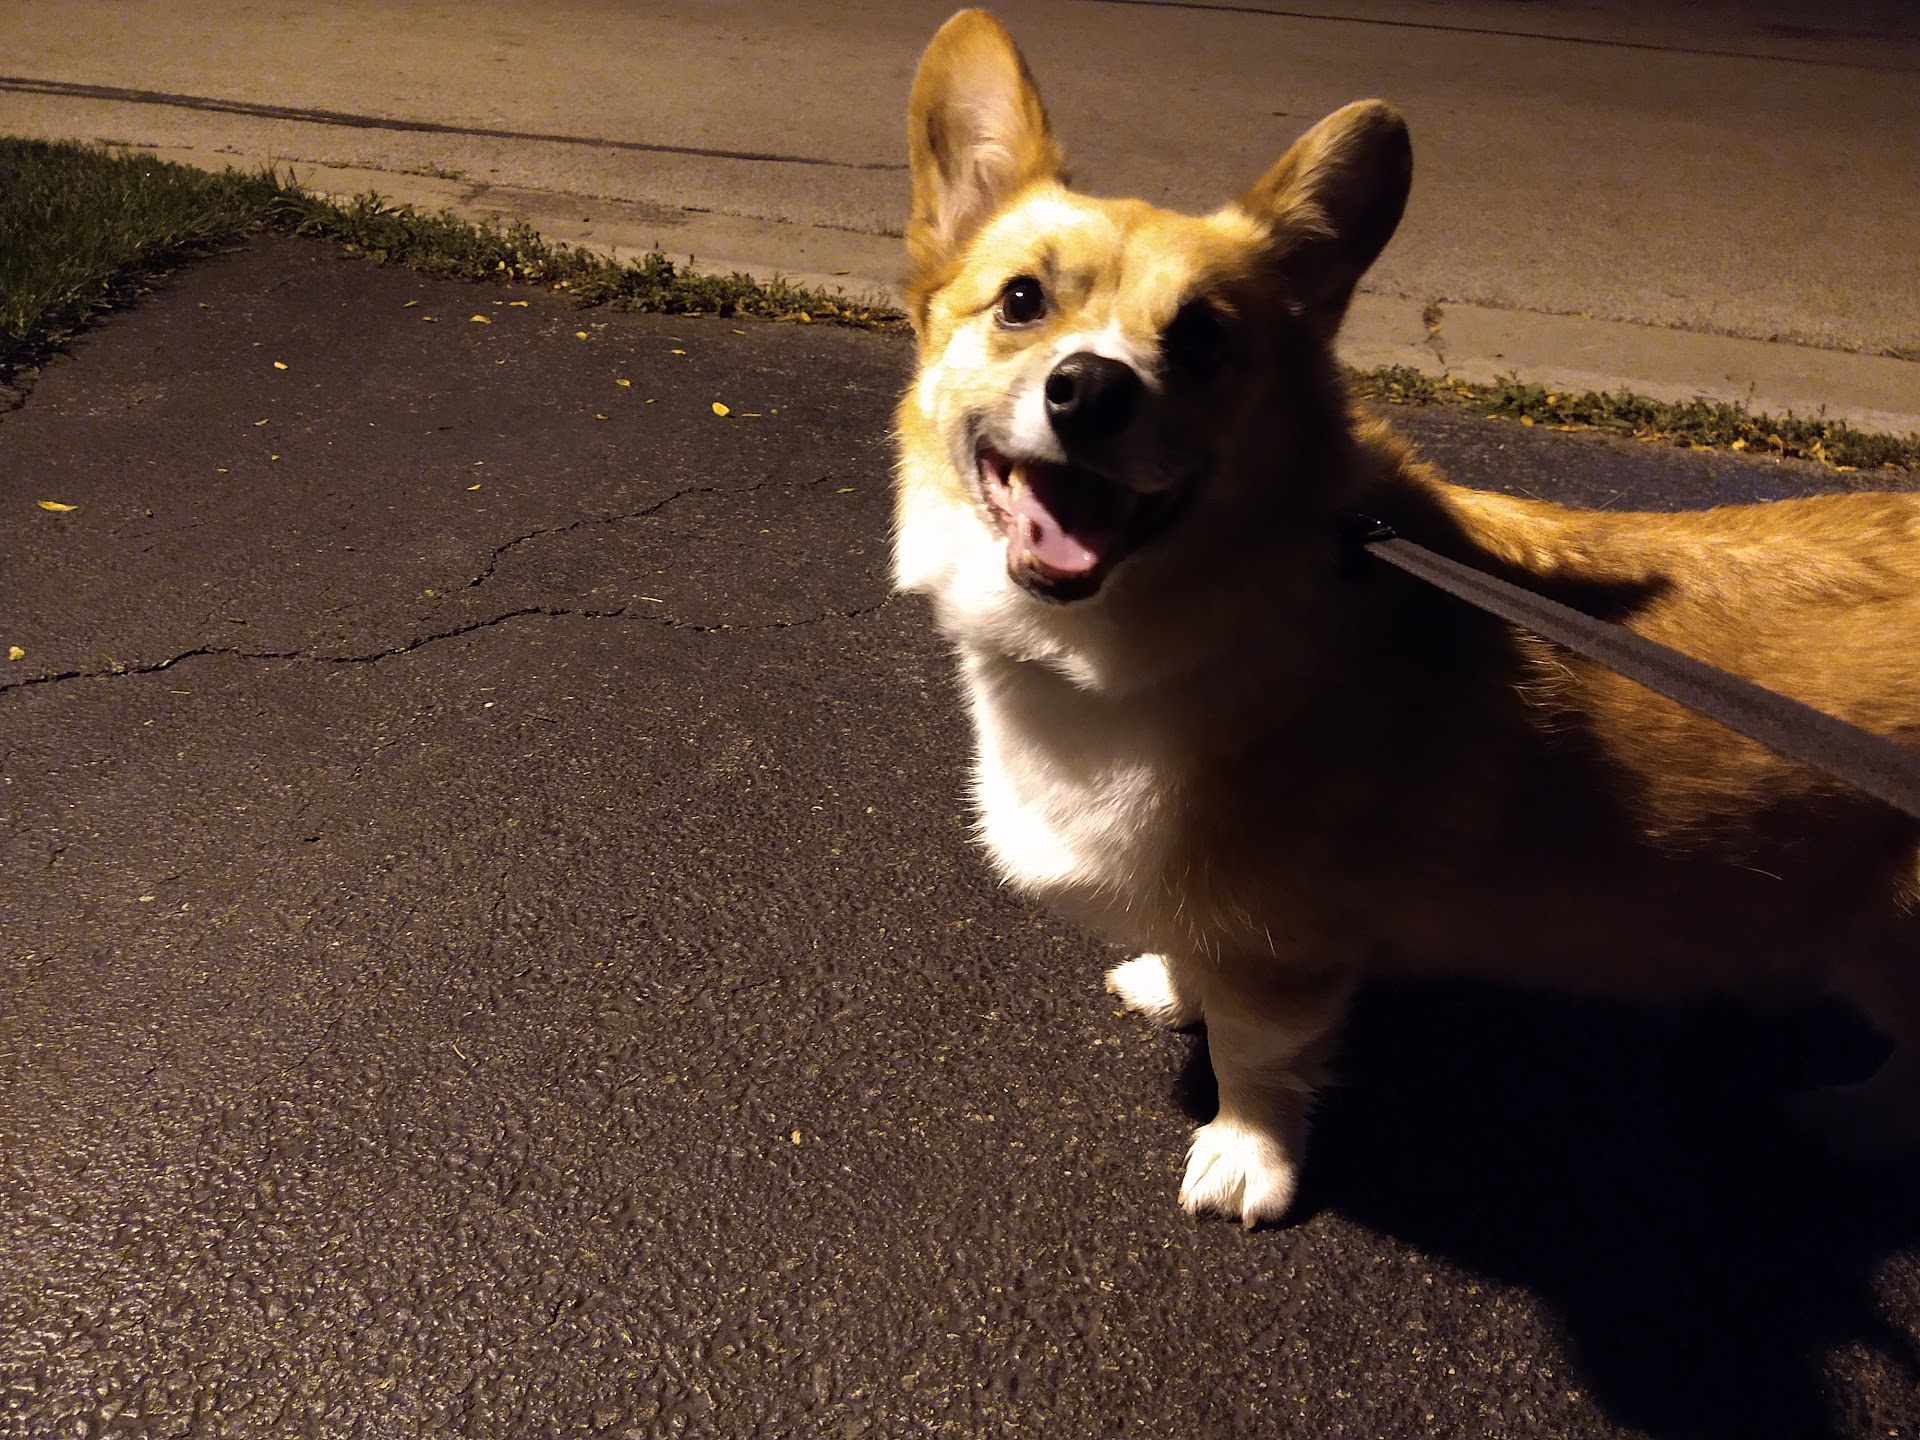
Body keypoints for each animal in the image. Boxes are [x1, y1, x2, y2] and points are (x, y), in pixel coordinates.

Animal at [892, 9, 1920, 1226]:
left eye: (1202, 341)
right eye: (1021, 301)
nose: (1090, 390)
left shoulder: (1286, 945)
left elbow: (1257, 1056)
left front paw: (1247, 1158)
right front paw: (1171, 979)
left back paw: (1854, 1121)